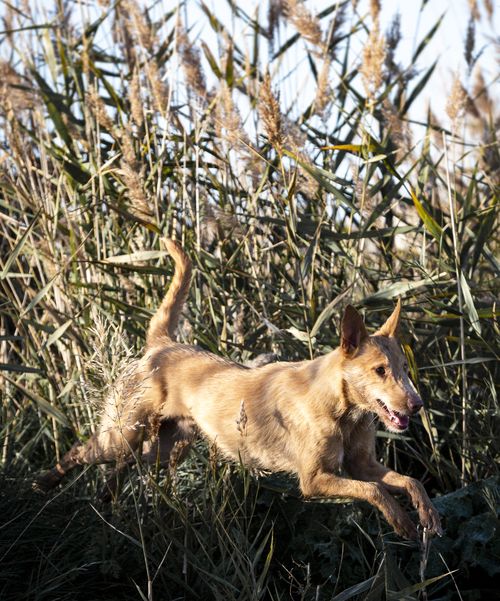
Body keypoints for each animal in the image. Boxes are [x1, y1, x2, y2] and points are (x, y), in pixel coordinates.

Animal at [35, 238, 442, 540]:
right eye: (379, 370)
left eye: (403, 369)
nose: (417, 405)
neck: (340, 408)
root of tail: (161, 345)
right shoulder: (314, 480)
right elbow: (375, 491)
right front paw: (401, 520)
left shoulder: (363, 465)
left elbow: (409, 480)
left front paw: (427, 514)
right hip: (122, 434)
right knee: (79, 452)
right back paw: (45, 482)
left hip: (163, 447)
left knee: (121, 468)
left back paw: (104, 497)